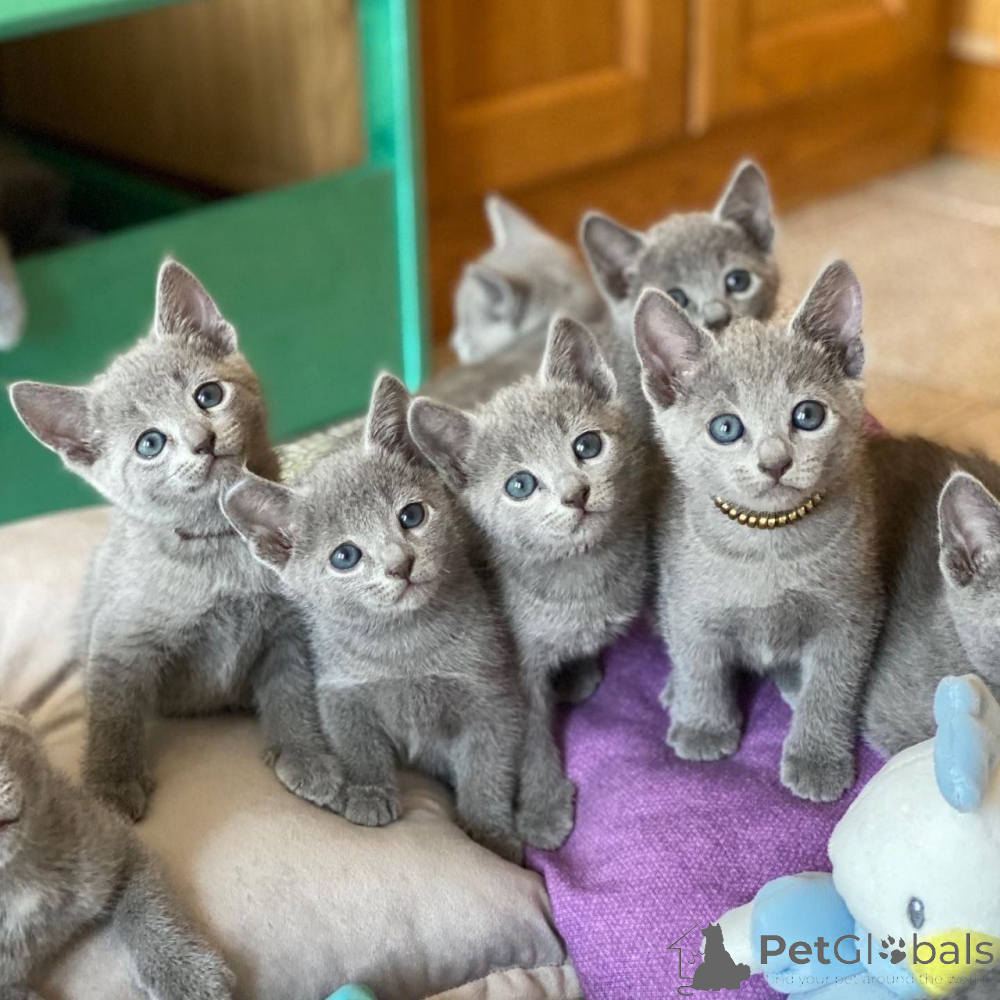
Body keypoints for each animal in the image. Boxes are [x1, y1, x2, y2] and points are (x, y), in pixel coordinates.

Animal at [9, 260, 342, 821]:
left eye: (208, 395)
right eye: (150, 444)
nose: (202, 441)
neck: (221, 544)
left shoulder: (289, 629)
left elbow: (294, 690)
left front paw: (307, 756)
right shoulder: (121, 639)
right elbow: (114, 713)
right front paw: (110, 786)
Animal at [222, 374, 575, 859]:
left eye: (411, 515)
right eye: (345, 556)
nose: (400, 564)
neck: (404, 646)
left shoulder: (493, 699)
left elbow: (486, 769)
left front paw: (490, 833)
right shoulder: (340, 688)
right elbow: (358, 744)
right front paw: (369, 795)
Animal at [409, 316, 650, 813]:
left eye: (588, 445)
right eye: (520, 485)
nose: (576, 494)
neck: (581, 574)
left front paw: (580, 665)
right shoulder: (511, 670)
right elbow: (532, 733)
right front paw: (544, 804)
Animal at [637, 261, 882, 802]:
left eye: (808, 415)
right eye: (725, 428)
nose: (775, 462)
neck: (769, 539)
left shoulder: (853, 612)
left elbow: (831, 686)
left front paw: (817, 758)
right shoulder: (689, 604)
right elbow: (699, 662)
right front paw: (703, 725)